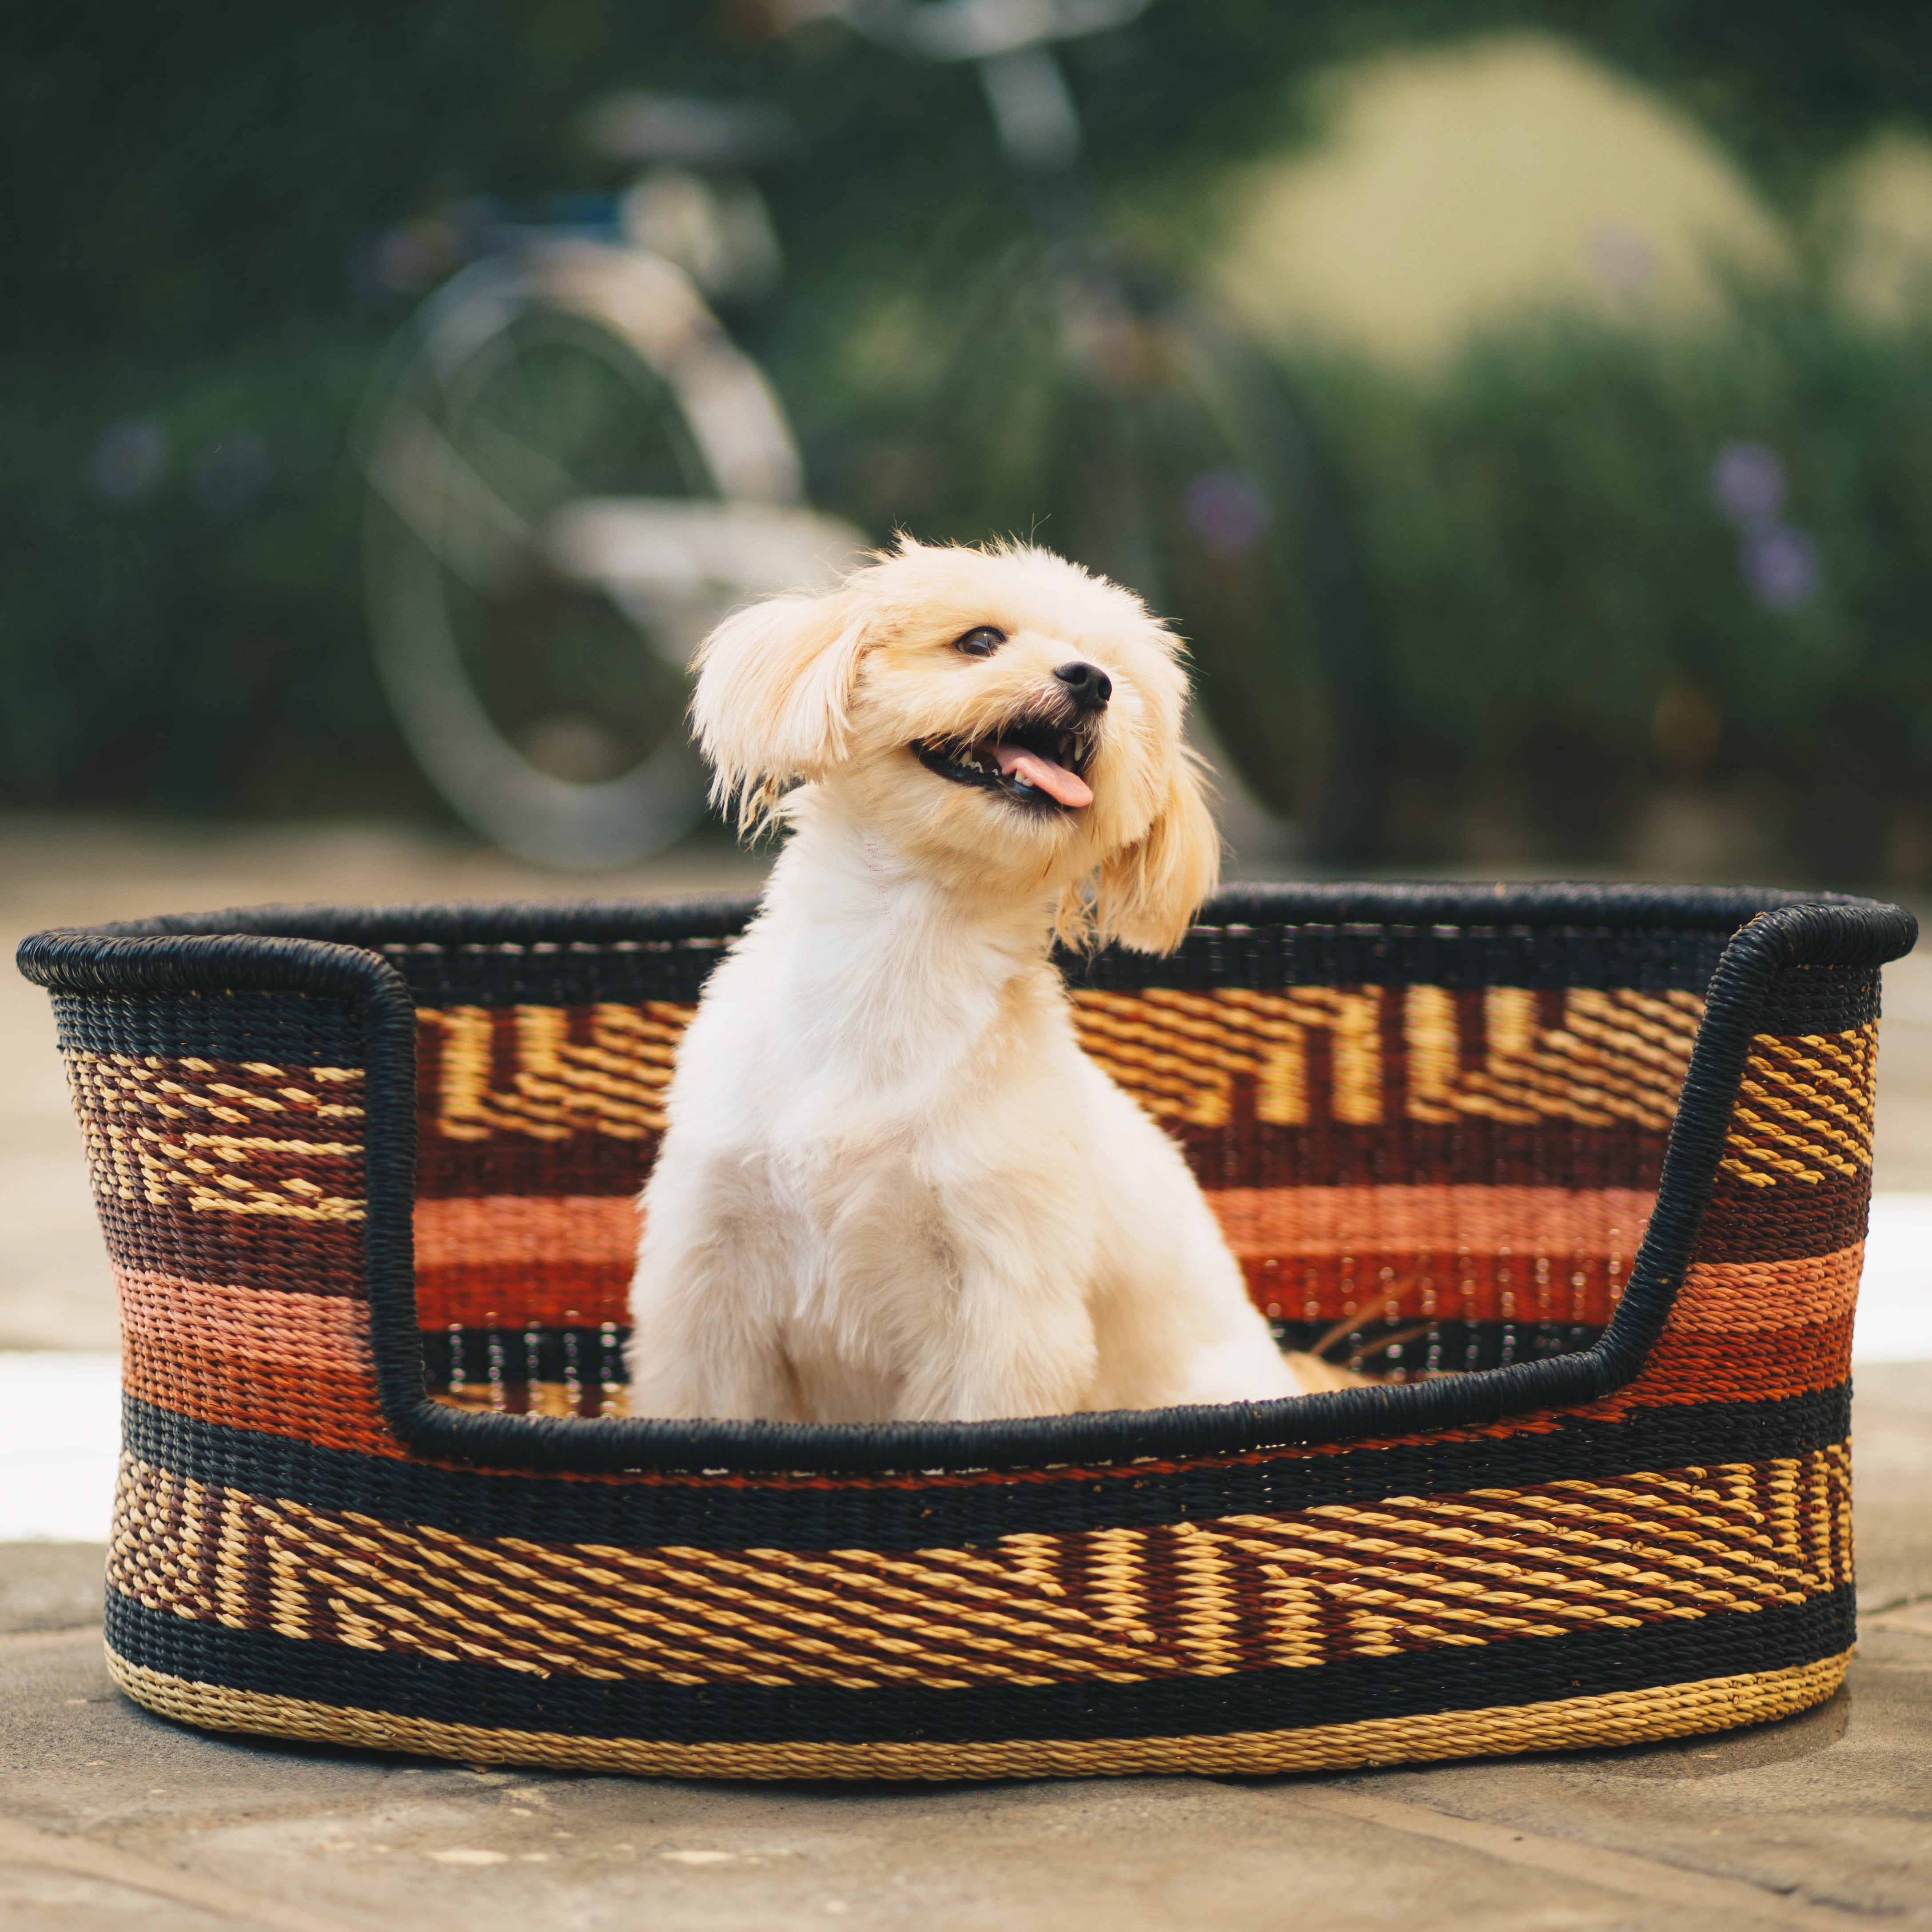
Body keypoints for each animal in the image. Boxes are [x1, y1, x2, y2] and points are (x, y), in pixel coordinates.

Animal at [626, 541, 1321, 1422]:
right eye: (979, 641)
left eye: (1122, 682)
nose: (1090, 680)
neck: (899, 955)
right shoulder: (707, 1283)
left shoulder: (1002, 1309)